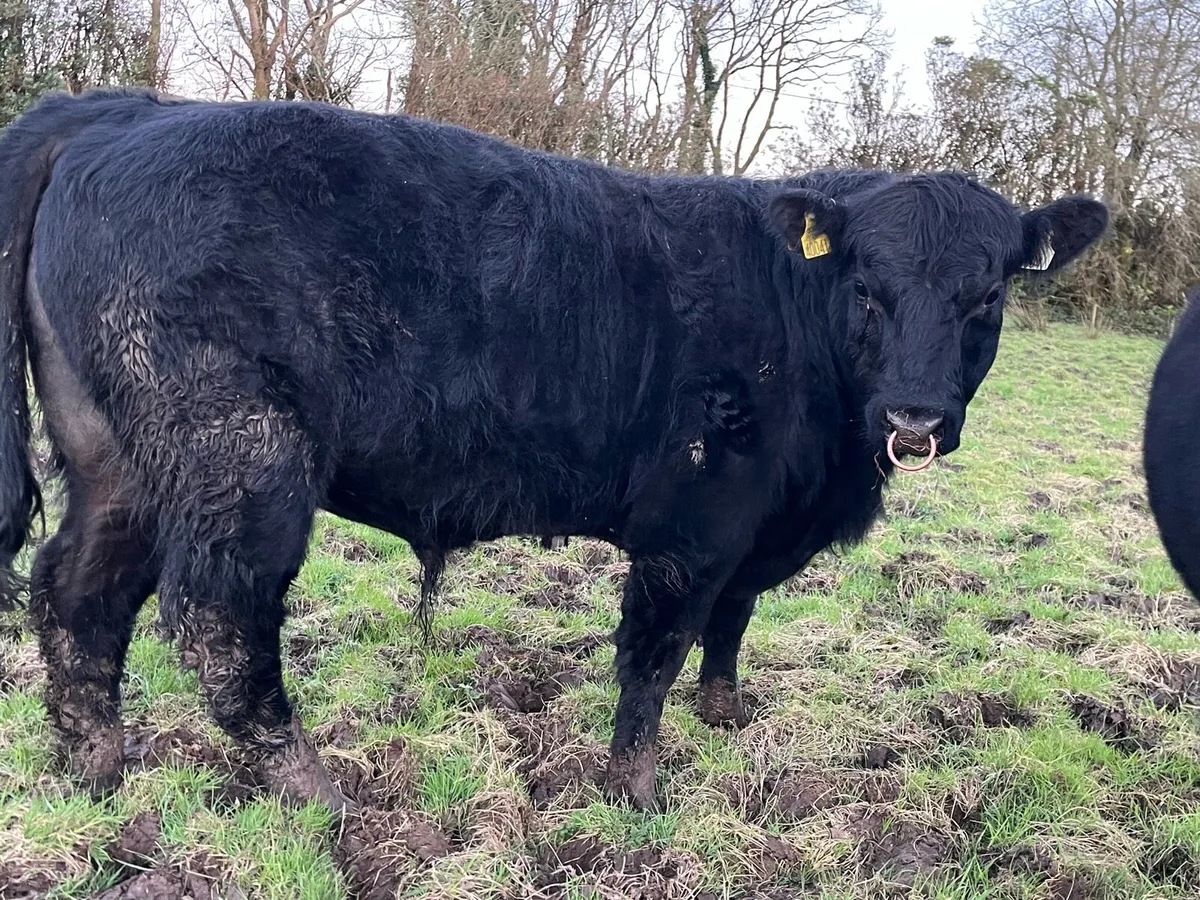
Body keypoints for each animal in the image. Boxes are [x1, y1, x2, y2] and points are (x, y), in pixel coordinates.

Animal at [0, 87, 1108, 813]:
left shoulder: (754, 526)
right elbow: (655, 653)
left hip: (119, 461)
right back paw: (317, 791)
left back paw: (96, 772)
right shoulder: (694, 522)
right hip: (239, 459)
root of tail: (128, 111)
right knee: (219, 622)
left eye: (988, 296)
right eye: (869, 288)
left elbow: (733, 621)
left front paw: (726, 714)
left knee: (80, 593)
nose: (915, 419)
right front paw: (635, 791)